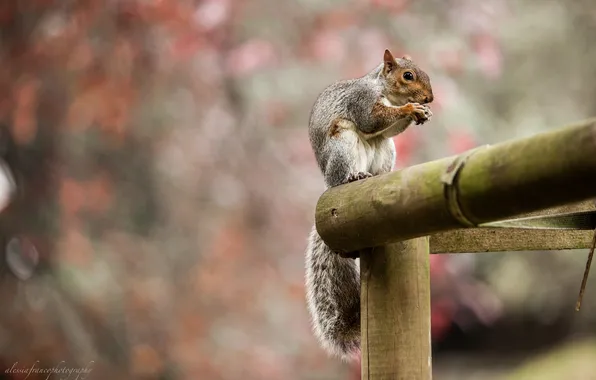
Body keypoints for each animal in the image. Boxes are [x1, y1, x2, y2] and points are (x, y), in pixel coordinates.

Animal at [308, 48, 434, 360]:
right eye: (408, 76)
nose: (429, 98)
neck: (385, 90)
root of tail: (328, 183)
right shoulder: (362, 101)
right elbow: (371, 120)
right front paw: (410, 109)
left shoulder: (387, 134)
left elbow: (386, 130)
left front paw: (421, 113)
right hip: (342, 146)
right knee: (343, 174)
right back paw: (354, 177)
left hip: (385, 151)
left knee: (382, 147)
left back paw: (376, 177)